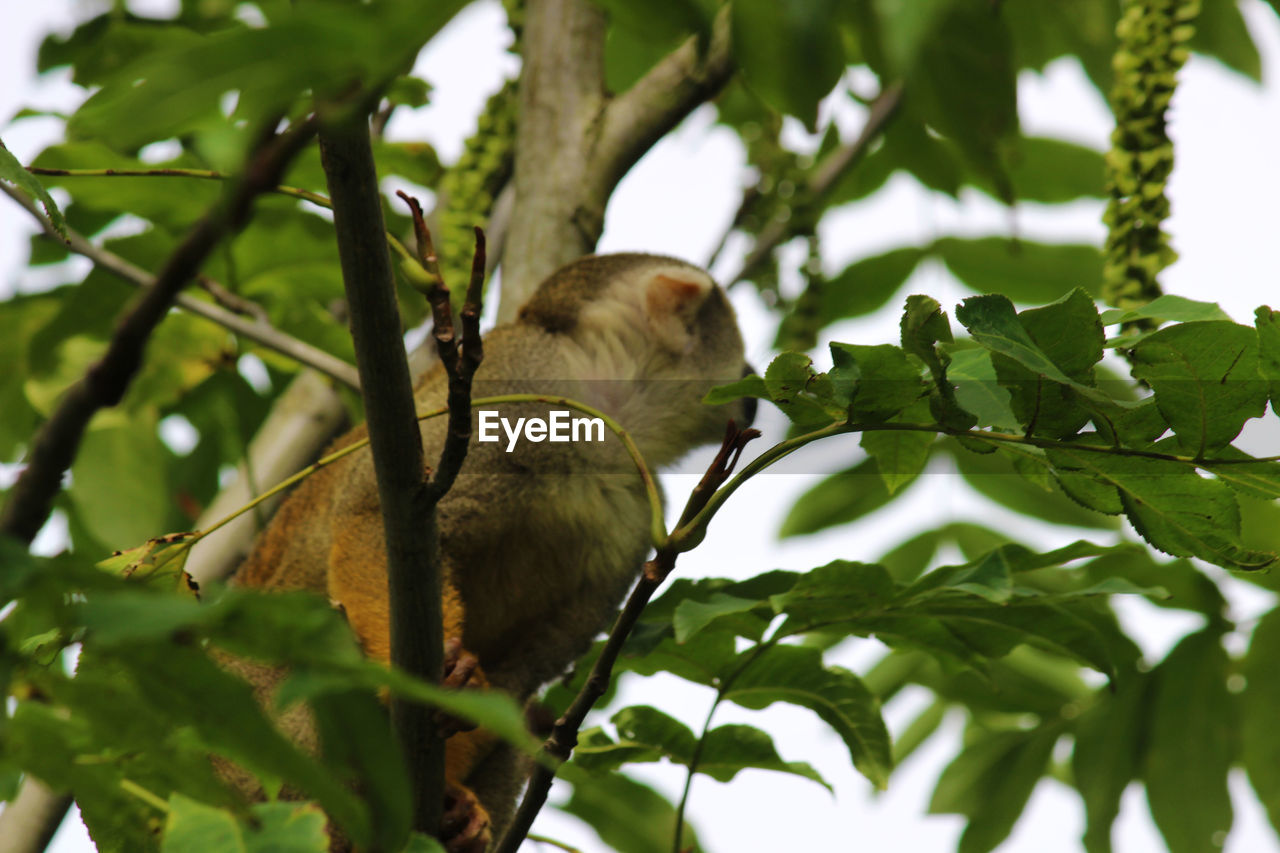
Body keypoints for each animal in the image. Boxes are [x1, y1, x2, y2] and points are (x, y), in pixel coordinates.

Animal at [222, 253, 747, 850]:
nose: (754, 393)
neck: (604, 422)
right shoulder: (511, 382)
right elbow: (374, 517)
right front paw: (428, 689)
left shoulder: (638, 519)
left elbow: (524, 670)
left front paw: (455, 803)